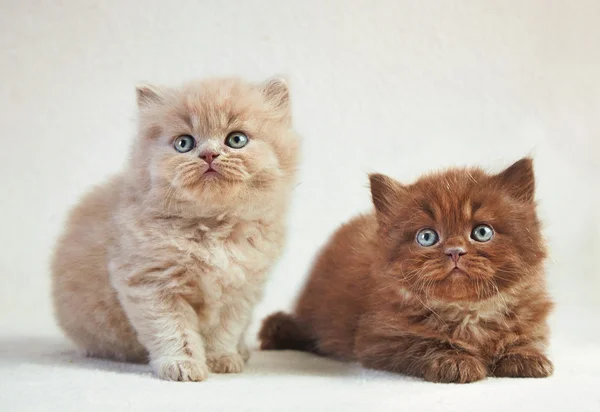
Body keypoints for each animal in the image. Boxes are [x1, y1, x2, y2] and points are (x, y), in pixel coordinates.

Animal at [51, 76, 300, 380]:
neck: (212, 226)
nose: (209, 154)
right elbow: (174, 330)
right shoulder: (152, 282)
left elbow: (224, 331)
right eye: (184, 143)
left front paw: (222, 360)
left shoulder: (240, 288)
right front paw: (183, 366)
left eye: (236, 139)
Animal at [258, 159, 552, 384]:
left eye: (482, 232)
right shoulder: (379, 339)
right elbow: (422, 344)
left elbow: (525, 338)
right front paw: (455, 361)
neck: (468, 313)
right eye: (427, 237)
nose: (455, 251)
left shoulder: (532, 319)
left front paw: (526, 358)